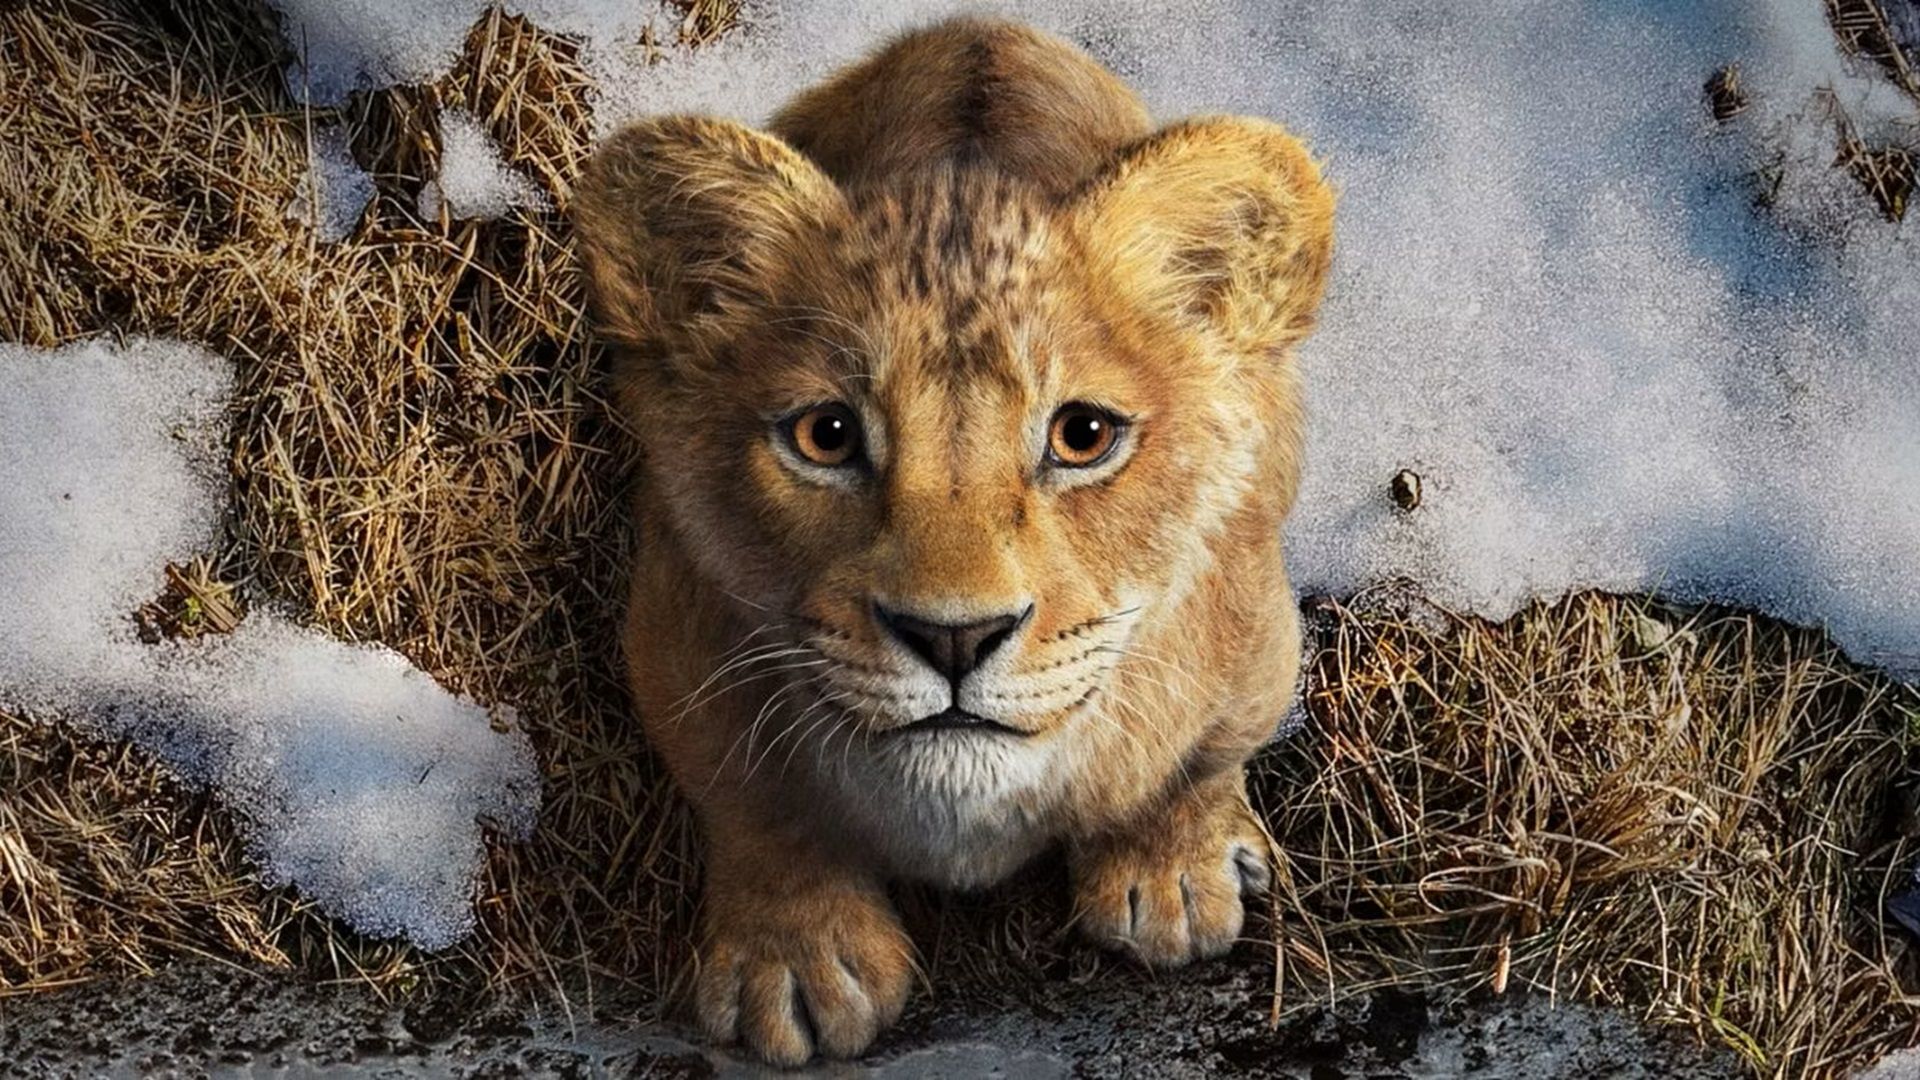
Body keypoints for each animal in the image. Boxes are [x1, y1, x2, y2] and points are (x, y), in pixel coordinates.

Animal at [573, 16, 1334, 1065]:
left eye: (1083, 435)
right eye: (826, 435)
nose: (954, 638)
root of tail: (983, 27)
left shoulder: (1255, 634)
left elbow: (1196, 760)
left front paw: (1173, 876)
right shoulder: (674, 632)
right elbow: (754, 803)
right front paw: (795, 960)